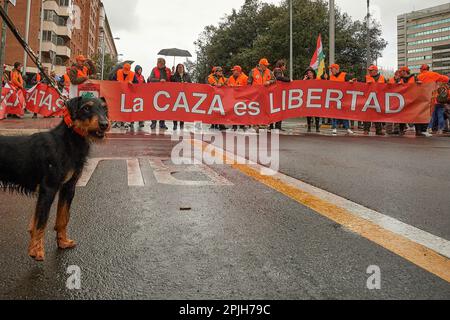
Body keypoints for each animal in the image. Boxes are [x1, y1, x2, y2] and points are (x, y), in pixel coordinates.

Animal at [0, 96, 109, 262]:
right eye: (86, 108)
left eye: (104, 108)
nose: (104, 124)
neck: (68, 141)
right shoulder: (48, 189)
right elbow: (42, 222)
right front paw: (36, 250)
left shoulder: (68, 188)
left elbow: (62, 218)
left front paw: (63, 242)